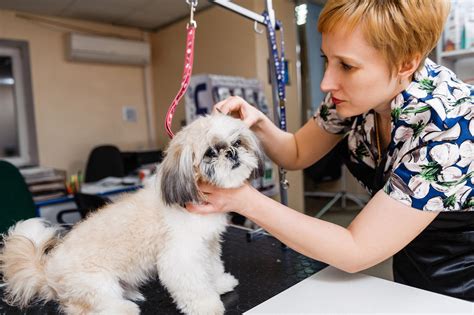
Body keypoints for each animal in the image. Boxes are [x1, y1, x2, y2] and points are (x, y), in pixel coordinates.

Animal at [0, 114, 264, 315]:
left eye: (238, 142)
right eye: (210, 152)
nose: (231, 153)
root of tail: (47, 272)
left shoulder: (207, 245)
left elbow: (212, 268)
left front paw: (220, 284)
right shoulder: (181, 255)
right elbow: (194, 285)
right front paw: (207, 306)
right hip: (95, 284)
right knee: (82, 308)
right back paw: (123, 308)